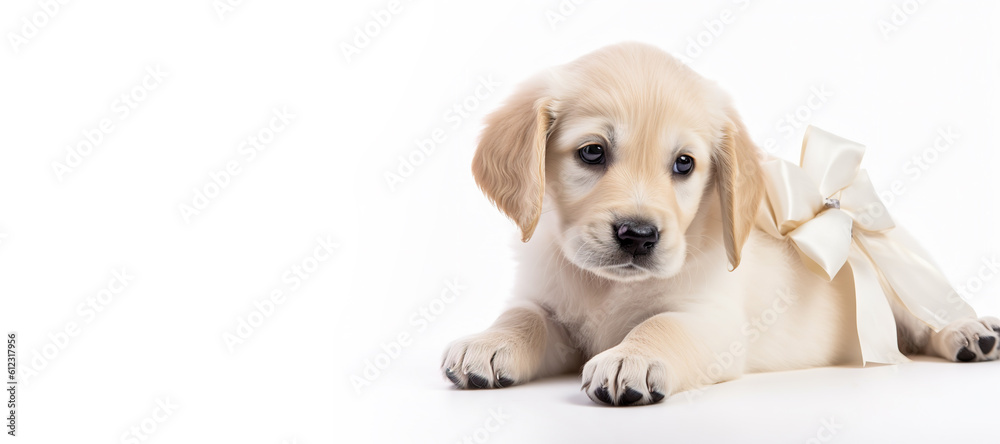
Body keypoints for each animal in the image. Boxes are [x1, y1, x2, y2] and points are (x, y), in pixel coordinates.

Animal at [446, 42, 1000, 406]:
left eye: (684, 164)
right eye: (592, 152)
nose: (638, 236)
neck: (607, 288)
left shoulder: (713, 321)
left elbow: (661, 324)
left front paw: (632, 357)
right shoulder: (546, 304)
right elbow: (522, 316)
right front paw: (489, 343)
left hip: (897, 283)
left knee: (927, 316)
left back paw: (972, 332)